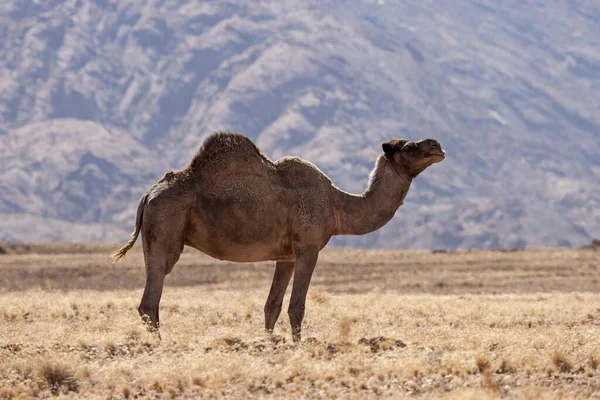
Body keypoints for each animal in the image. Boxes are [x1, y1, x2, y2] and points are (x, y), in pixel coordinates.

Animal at [111, 132, 446, 340]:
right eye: (408, 147)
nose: (437, 146)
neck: (336, 205)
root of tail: (148, 194)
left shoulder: (286, 256)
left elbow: (271, 306)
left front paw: (269, 345)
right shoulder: (309, 247)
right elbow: (297, 306)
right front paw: (298, 348)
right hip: (167, 227)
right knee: (150, 300)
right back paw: (161, 346)